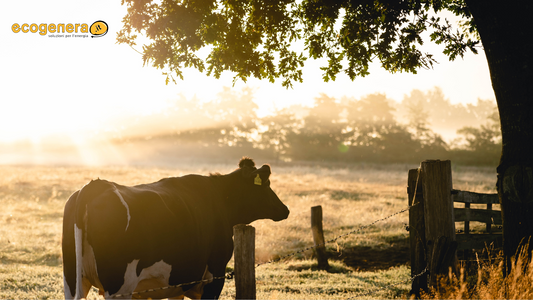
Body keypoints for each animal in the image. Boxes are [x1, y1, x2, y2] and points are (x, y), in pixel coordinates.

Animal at [61, 158, 290, 298]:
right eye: (267, 184)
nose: (285, 209)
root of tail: (96, 185)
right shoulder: (214, 276)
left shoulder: (176, 283)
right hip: (119, 287)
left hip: (72, 281)